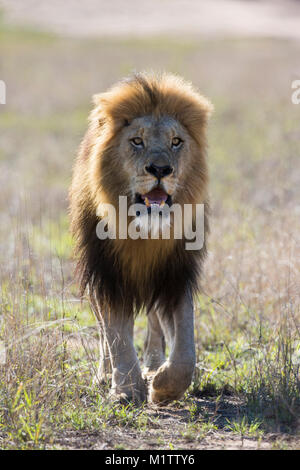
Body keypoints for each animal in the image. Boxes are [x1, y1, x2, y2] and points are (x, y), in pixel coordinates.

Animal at [69, 73, 212, 404]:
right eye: (137, 141)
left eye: (176, 142)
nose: (160, 169)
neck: (144, 233)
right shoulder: (106, 273)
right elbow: (116, 333)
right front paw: (125, 388)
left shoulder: (175, 274)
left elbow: (186, 349)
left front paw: (162, 386)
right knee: (104, 331)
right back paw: (106, 375)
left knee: (156, 324)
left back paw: (154, 365)